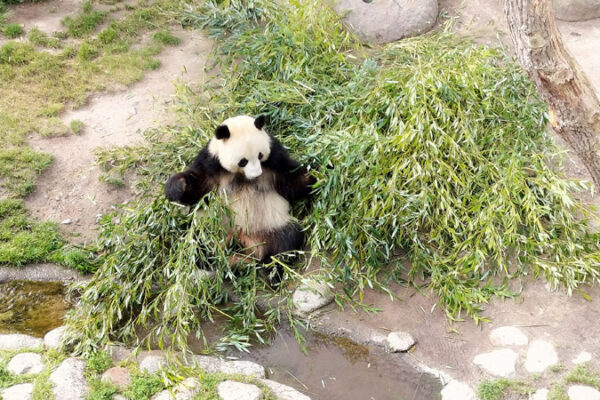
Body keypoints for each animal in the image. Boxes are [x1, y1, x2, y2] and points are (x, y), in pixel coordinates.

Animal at [164, 112, 314, 276]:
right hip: (214, 227)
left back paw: (271, 268)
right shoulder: (211, 164)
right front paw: (178, 186)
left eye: (260, 155)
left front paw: (319, 172)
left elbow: (291, 181)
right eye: (243, 161)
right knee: (200, 240)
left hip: (270, 224)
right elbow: (198, 189)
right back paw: (213, 261)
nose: (256, 174)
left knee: (287, 239)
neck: (242, 176)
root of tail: (244, 239)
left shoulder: (274, 158)